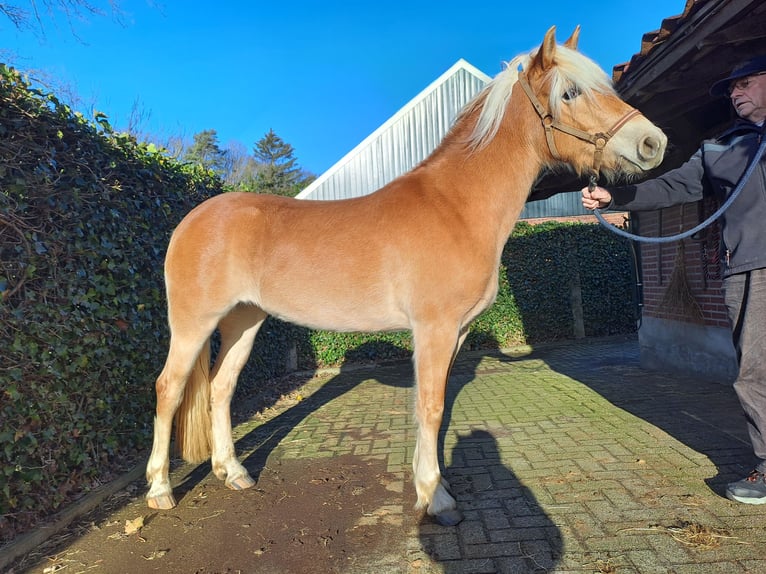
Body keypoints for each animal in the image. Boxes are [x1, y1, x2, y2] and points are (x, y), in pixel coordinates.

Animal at [147, 28, 668, 532]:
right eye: (570, 92)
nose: (653, 142)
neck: (456, 207)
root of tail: (190, 220)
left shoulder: (455, 333)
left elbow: (433, 409)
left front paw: (431, 486)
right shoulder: (433, 329)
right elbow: (431, 408)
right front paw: (436, 498)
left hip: (244, 320)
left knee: (220, 388)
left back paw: (232, 472)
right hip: (194, 324)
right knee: (168, 388)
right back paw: (160, 491)